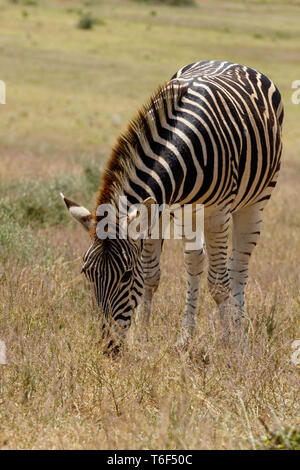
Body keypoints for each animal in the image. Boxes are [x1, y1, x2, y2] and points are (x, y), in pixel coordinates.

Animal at [61, 59, 284, 352]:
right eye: (87, 273)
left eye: (126, 275)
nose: (109, 346)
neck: (183, 143)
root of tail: (230, 62)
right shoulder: (158, 210)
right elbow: (151, 275)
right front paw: (143, 338)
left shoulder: (218, 212)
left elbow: (219, 283)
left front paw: (227, 345)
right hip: (190, 212)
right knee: (195, 262)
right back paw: (186, 337)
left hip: (256, 201)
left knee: (237, 267)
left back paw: (239, 336)